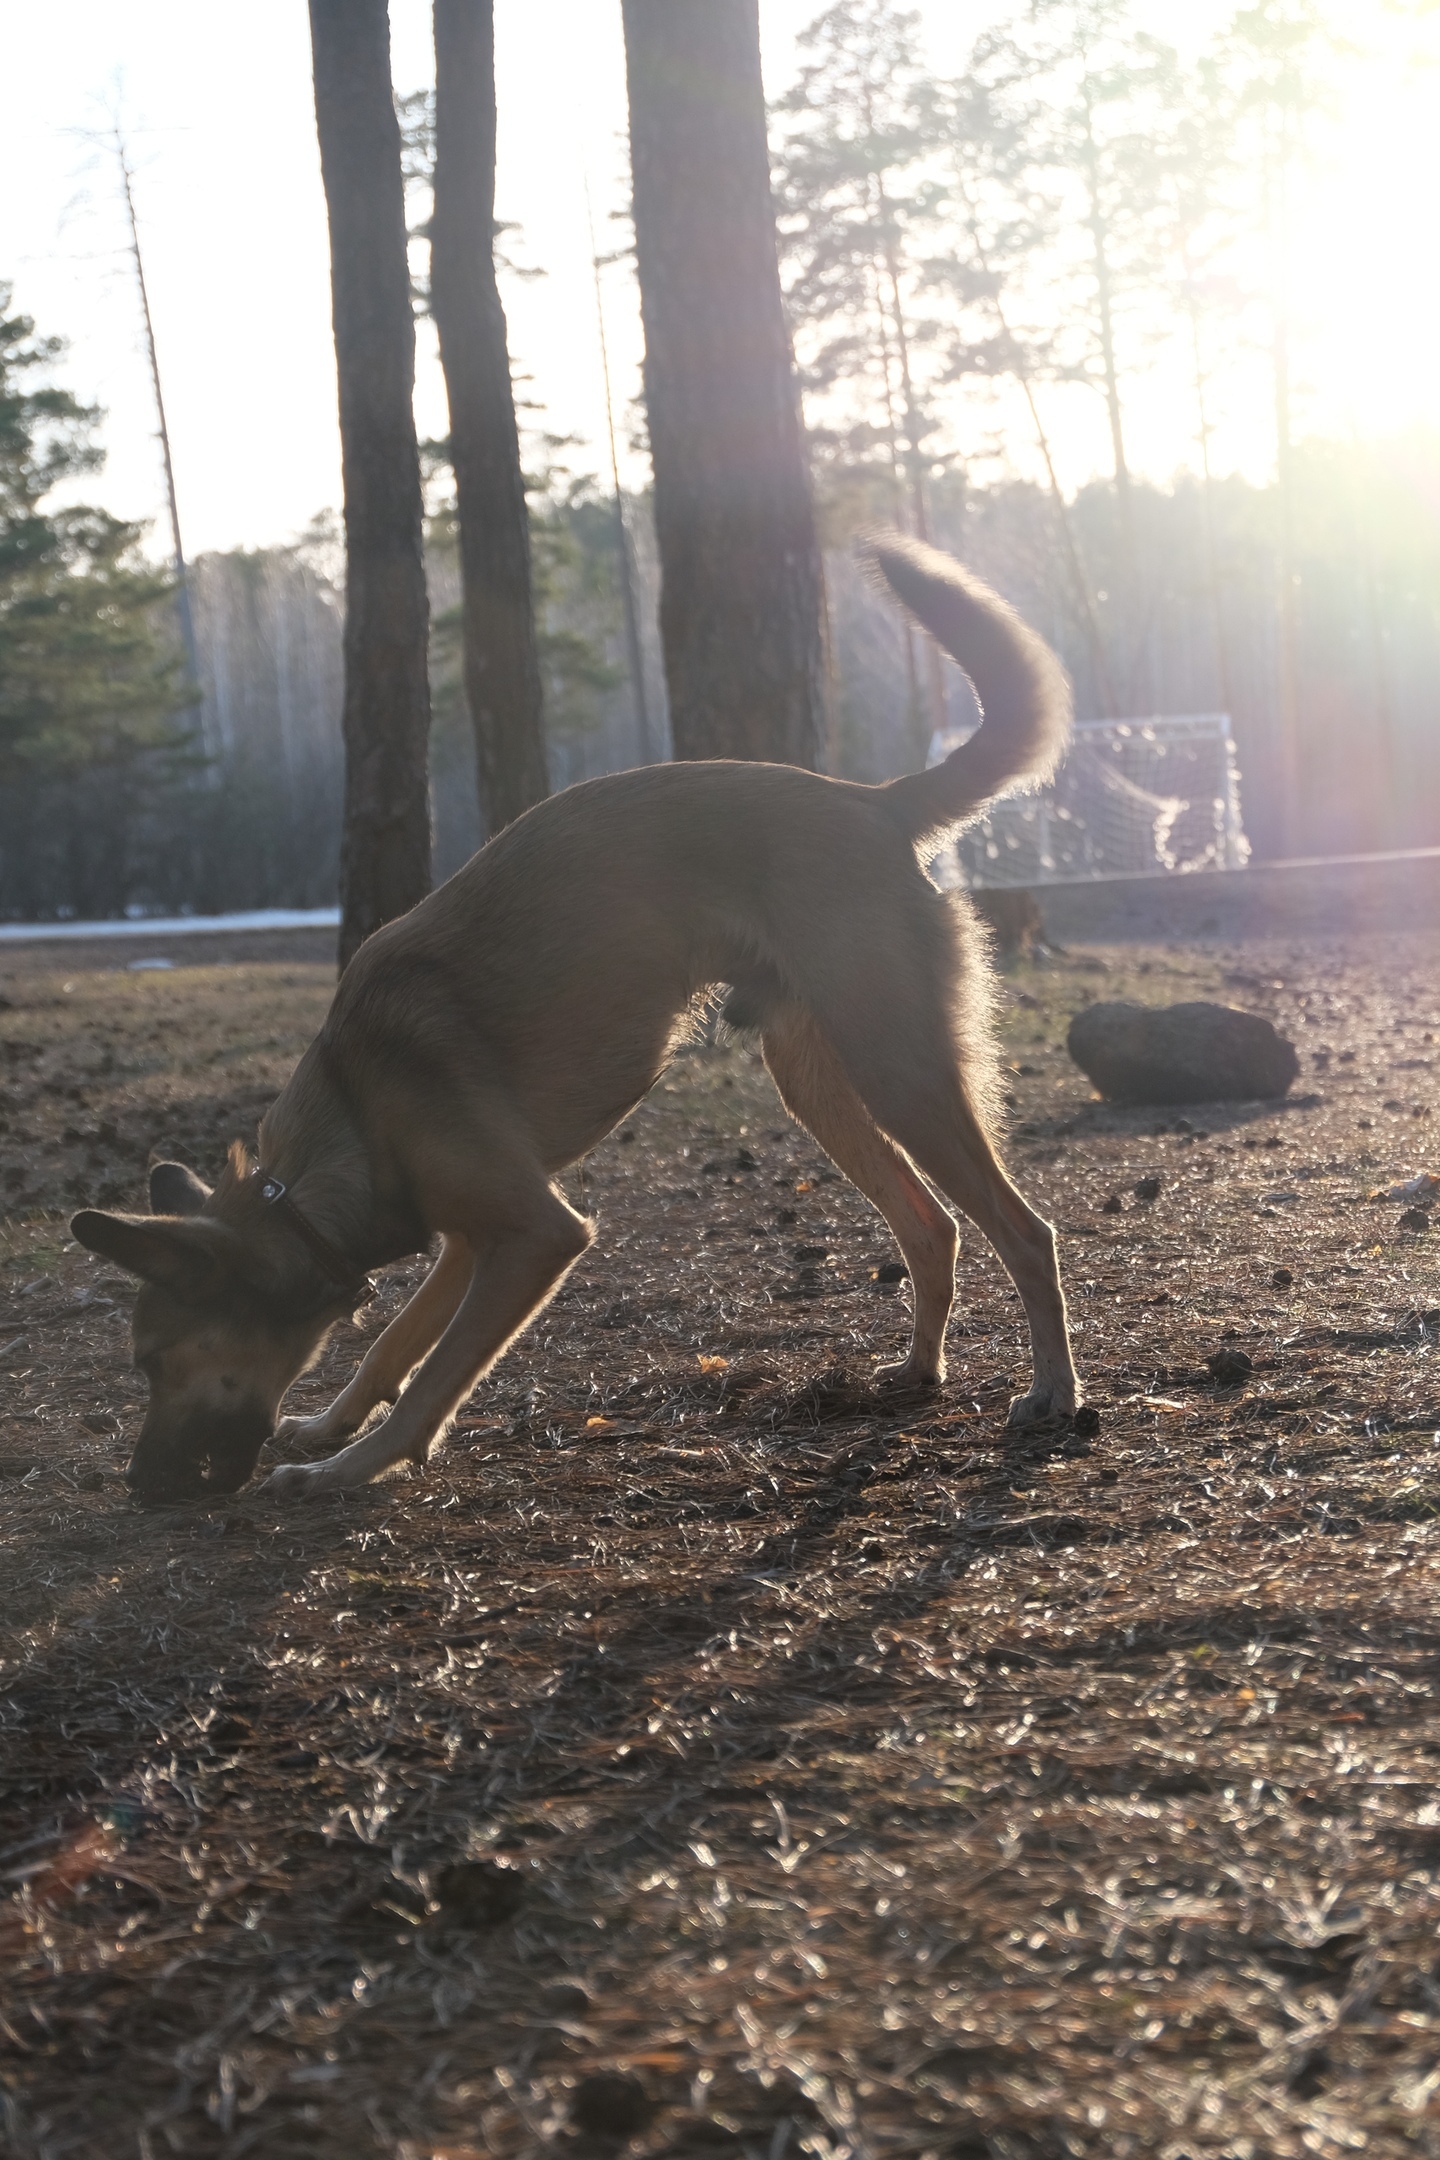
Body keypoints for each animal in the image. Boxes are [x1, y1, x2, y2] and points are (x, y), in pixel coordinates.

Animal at [73, 535, 1075, 1503]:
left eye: (153, 1361)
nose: (140, 1488)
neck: (356, 1110)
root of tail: (874, 801)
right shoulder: (474, 1241)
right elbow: (396, 1346)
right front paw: (331, 1426)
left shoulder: (538, 1236)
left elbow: (433, 1379)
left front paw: (350, 1470)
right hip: (821, 1084)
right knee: (932, 1226)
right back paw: (918, 1370)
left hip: (898, 1070)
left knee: (1025, 1233)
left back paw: (1054, 1394)